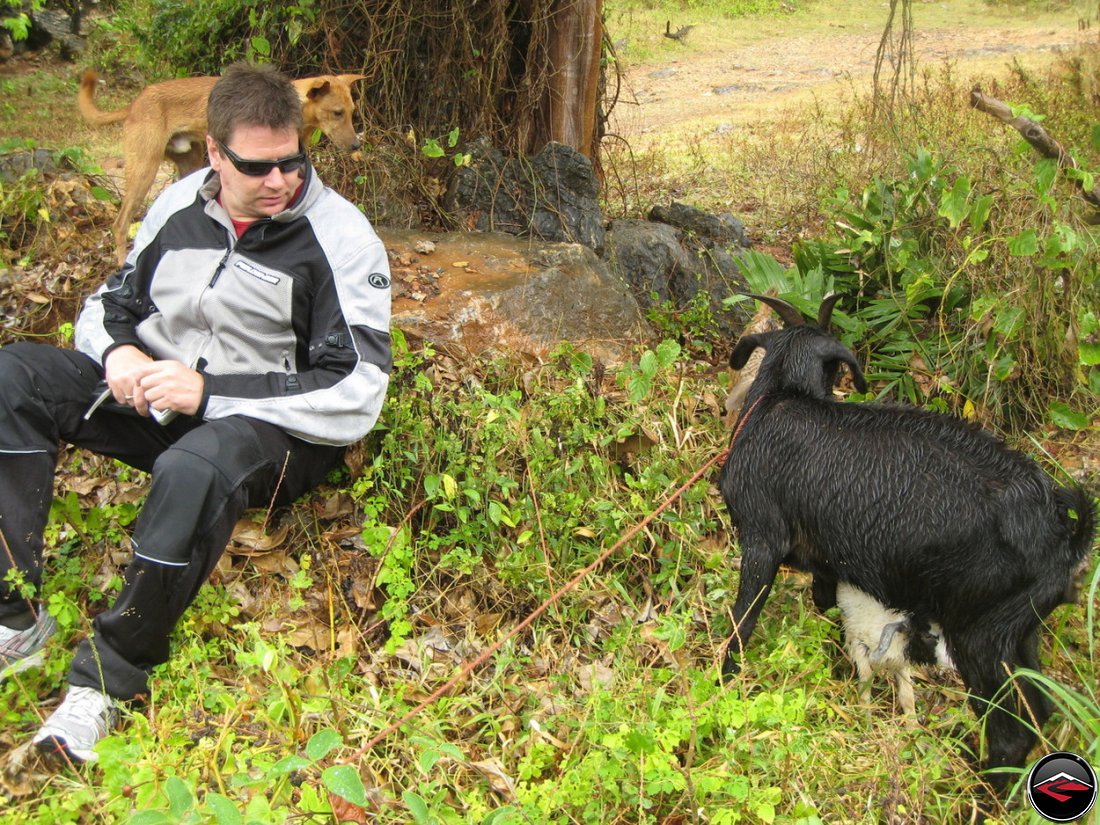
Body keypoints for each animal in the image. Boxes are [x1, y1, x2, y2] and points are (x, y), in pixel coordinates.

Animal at [79, 70, 369, 266]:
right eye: (337, 113)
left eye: (352, 111)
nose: (356, 145)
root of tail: (135, 103)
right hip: (144, 169)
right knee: (120, 224)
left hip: (188, 162)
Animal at [721, 294, 1091, 796]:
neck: (778, 398)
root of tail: (1060, 534)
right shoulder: (829, 565)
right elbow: (827, 607)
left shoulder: (762, 539)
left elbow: (742, 624)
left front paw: (723, 686)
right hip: (1021, 632)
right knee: (1039, 709)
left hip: (979, 638)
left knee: (1009, 731)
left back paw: (977, 792)